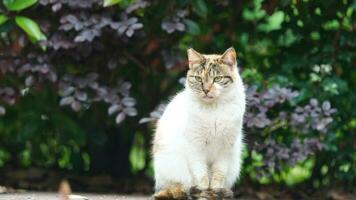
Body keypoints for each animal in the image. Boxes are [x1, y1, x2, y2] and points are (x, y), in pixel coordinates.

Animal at [152, 47, 246, 199]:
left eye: (217, 79)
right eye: (198, 78)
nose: (206, 90)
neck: (214, 109)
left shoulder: (226, 148)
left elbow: (218, 176)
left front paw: (215, 191)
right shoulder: (196, 147)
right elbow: (202, 176)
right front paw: (204, 192)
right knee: (180, 187)